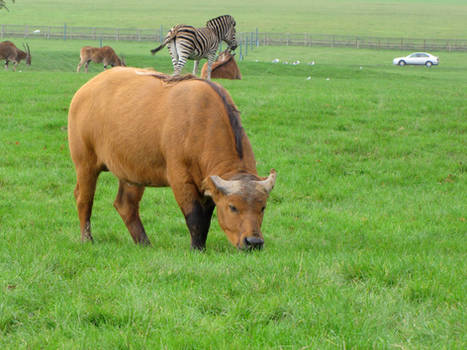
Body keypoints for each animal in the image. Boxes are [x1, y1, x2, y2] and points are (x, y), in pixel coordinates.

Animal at [67, 67, 276, 250]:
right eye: (232, 207)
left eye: (263, 207)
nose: (254, 242)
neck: (201, 121)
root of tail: (86, 89)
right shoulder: (180, 179)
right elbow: (195, 217)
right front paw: (196, 248)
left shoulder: (206, 185)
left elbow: (206, 217)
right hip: (85, 164)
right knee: (84, 199)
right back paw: (87, 238)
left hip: (132, 172)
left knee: (126, 205)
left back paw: (144, 243)